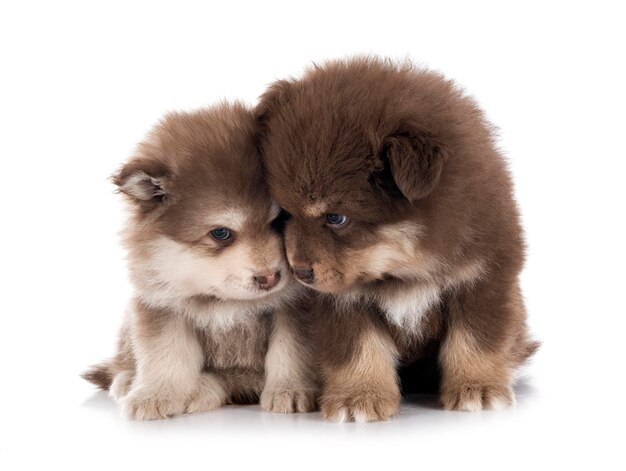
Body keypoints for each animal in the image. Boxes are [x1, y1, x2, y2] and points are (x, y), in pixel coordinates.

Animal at [83, 104, 316, 420]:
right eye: (220, 233)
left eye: (279, 220)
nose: (270, 278)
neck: (223, 303)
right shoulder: (160, 306)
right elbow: (164, 355)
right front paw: (154, 395)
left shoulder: (293, 307)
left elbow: (290, 351)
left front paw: (290, 390)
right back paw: (129, 381)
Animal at [254, 58, 536, 424]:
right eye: (286, 213)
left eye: (336, 218)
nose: (300, 272)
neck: (405, 268)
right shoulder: (343, 301)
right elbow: (358, 348)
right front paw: (359, 396)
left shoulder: (482, 280)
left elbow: (475, 340)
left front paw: (479, 387)